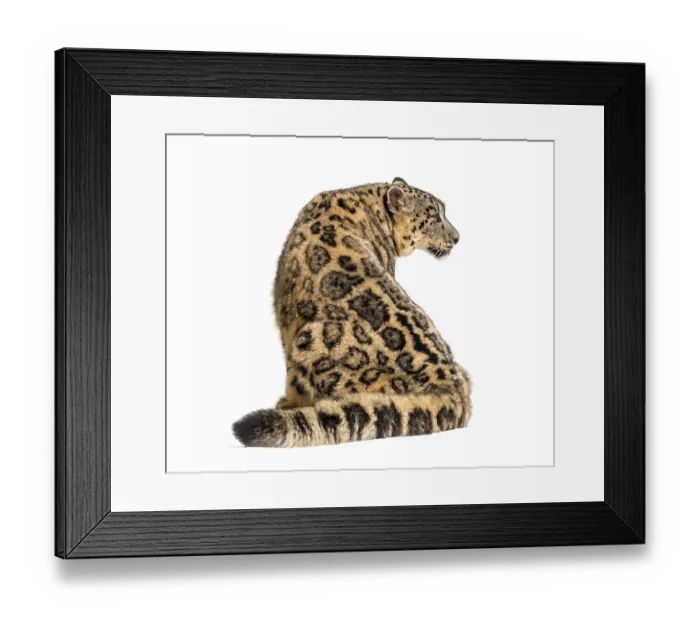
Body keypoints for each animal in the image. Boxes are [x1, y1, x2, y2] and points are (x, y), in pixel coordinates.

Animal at [232, 177, 472, 448]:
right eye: (434, 217)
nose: (457, 237)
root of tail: (453, 389)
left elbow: (291, 376)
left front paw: (288, 403)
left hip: (312, 340)